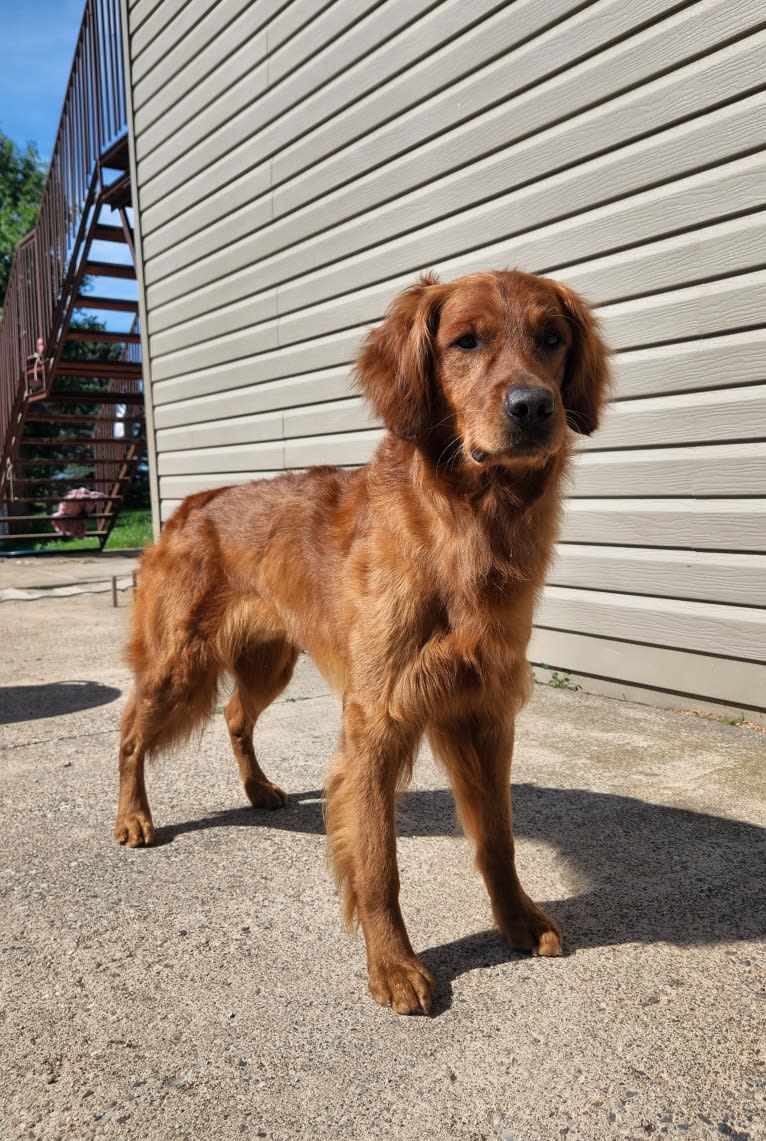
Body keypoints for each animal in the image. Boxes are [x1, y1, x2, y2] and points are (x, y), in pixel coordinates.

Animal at [115, 269, 611, 1017]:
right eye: (466, 342)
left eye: (551, 339)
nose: (533, 407)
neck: (464, 523)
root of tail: (189, 505)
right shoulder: (378, 717)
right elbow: (377, 861)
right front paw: (394, 966)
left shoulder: (484, 710)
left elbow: (498, 839)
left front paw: (517, 919)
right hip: (180, 666)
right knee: (129, 731)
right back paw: (133, 817)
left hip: (269, 663)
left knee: (235, 716)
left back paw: (258, 789)